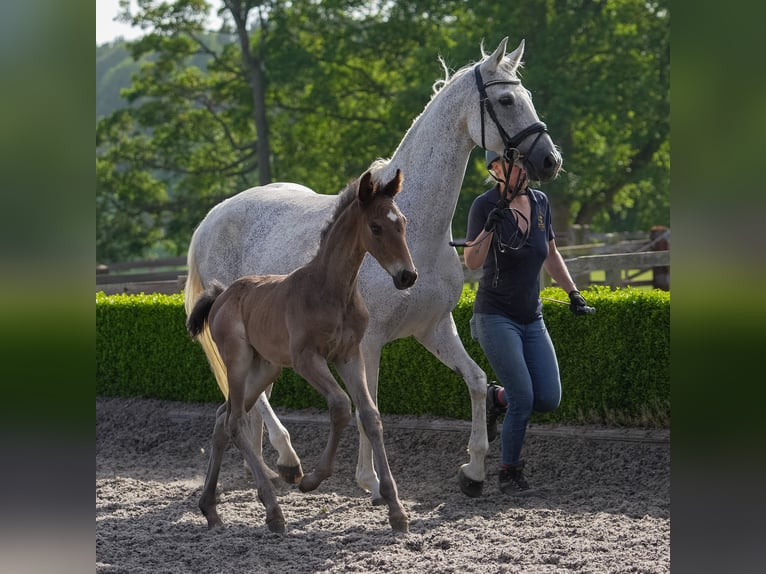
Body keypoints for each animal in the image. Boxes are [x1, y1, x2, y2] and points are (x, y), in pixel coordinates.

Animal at [186, 170, 416, 534]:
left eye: (403, 222)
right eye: (376, 227)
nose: (407, 275)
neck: (331, 291)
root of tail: (221, 295)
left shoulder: (350, 356)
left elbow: (370, 415)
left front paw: (395, 510)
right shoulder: (307, 358)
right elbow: (340, 405)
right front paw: (311, 480)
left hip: (264, 368)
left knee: (223, 419)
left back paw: (210, 507)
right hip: (238, 362)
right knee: (234, 421)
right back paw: (273, 511)